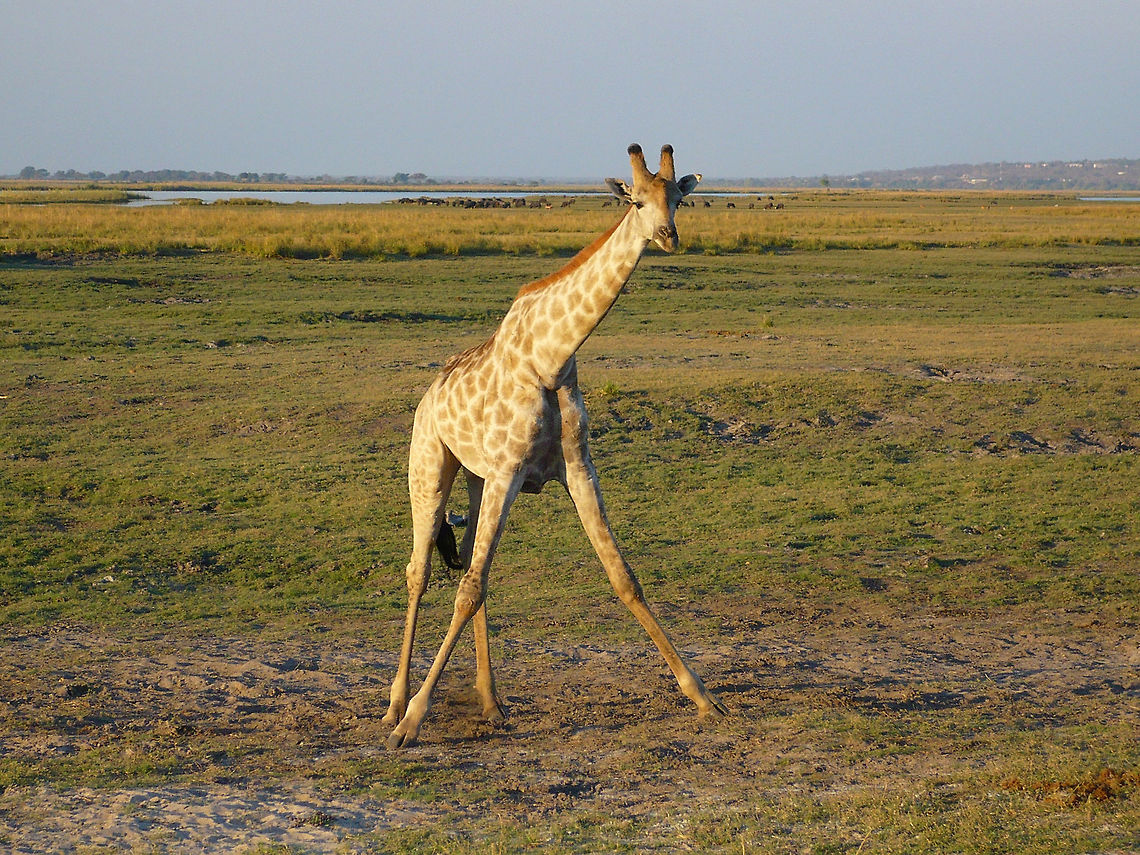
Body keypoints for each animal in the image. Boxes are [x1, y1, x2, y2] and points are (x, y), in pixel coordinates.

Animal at [383, 143, 728, 749]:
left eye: (679, 199)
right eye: (637, 201)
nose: (668, 235)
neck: (551, 356)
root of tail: (429, 395)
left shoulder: (575, 466)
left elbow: (623, 576)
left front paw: (703, 697)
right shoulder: (509, 471)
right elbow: (466, 589)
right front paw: (414, 720)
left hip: (477, 479)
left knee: (470, 565)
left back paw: (491, 702)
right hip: (429, 468)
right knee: (421, 572)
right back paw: (395, 705)